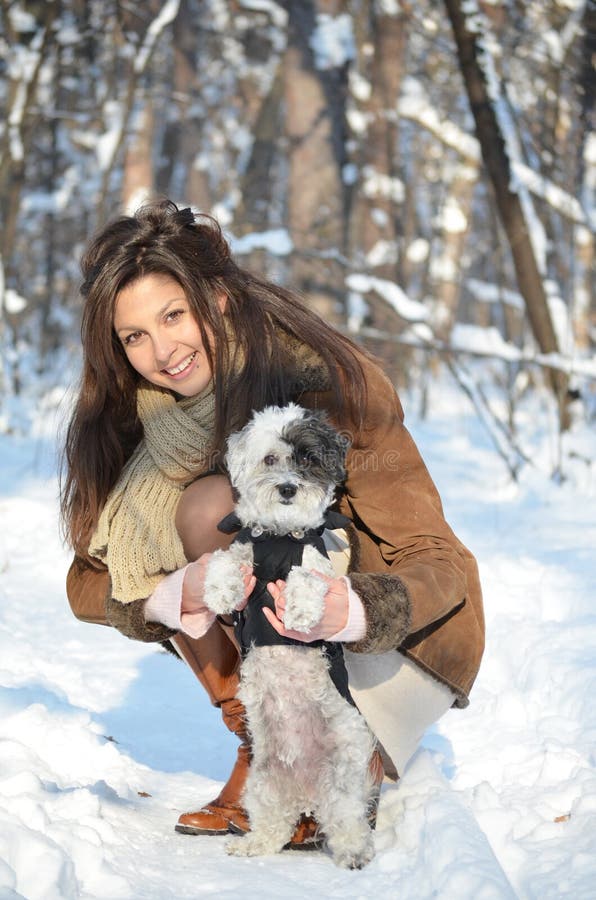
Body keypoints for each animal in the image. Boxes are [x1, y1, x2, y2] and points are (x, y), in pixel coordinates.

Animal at [203, 404, 374, 868]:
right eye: (270, 460)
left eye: (308, 459)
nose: (287, 489)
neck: (280, 535)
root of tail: (306, 789)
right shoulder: (245, 547)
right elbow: (225, 561)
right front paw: (219, 591)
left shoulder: (316, 565)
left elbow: (307, 579)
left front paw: (298, 611)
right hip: (262, 783)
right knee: (273, 828)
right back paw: (251, 845)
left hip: (342, 778)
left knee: (348, 823)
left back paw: (355, 856)